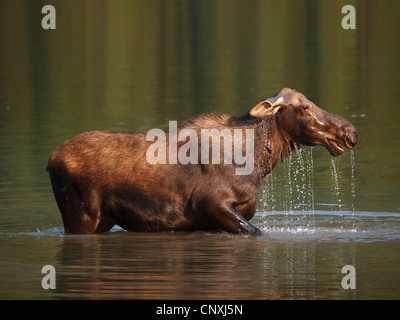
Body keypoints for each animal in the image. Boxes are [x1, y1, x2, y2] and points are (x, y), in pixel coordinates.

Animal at [47, 87, 360, 235]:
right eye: (305, 107)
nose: (350, 132)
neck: (257, 164)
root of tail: (49, 161)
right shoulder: (211, 202)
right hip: (81, 214)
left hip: (104, 219)